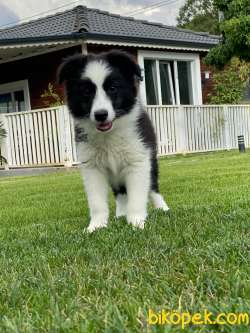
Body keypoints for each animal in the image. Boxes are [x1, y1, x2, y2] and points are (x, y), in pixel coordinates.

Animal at [57, 50, 169, 231]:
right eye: (86, 92)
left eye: (112, 88)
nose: (101, 115)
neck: (109, 134)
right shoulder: (92, 167)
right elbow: (97, 202)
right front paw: (96, 226)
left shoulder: (138, 161)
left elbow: (138, 196)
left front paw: (137, 222)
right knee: (120, 192)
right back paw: (121, 214)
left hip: (151, 162)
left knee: (153, 188)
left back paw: (162, 208)